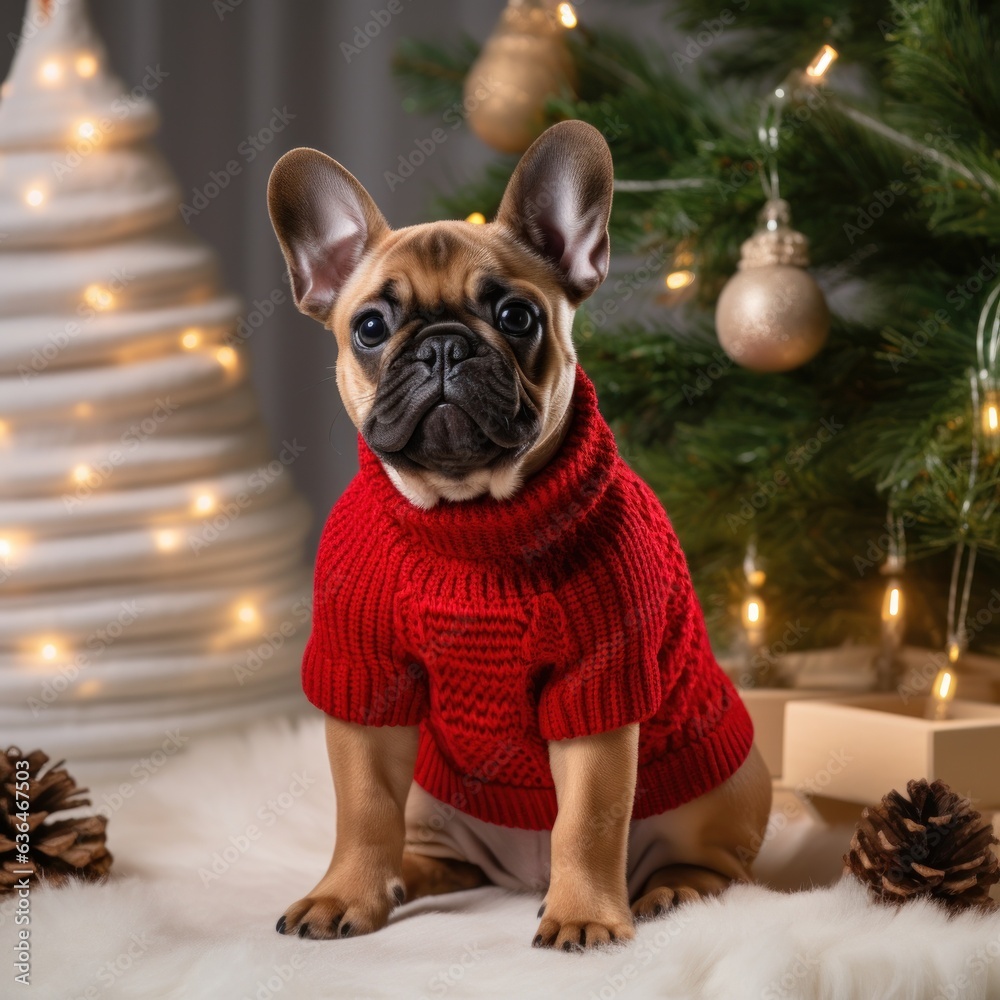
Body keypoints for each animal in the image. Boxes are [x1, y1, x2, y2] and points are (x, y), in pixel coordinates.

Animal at [268, 121, 772, 948]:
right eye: (370, 327)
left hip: (720, 791)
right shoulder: (366, 680)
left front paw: (585, 915)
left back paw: (664, 892)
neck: (469, 514)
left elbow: (589, 819)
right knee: (436, 850)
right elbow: (364, 808)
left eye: (516, 317)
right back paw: (412, 875)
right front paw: (345, 895)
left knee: (711, 866)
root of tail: (517, 876)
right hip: (434, 792)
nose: (443, 345)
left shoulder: (597, 690)